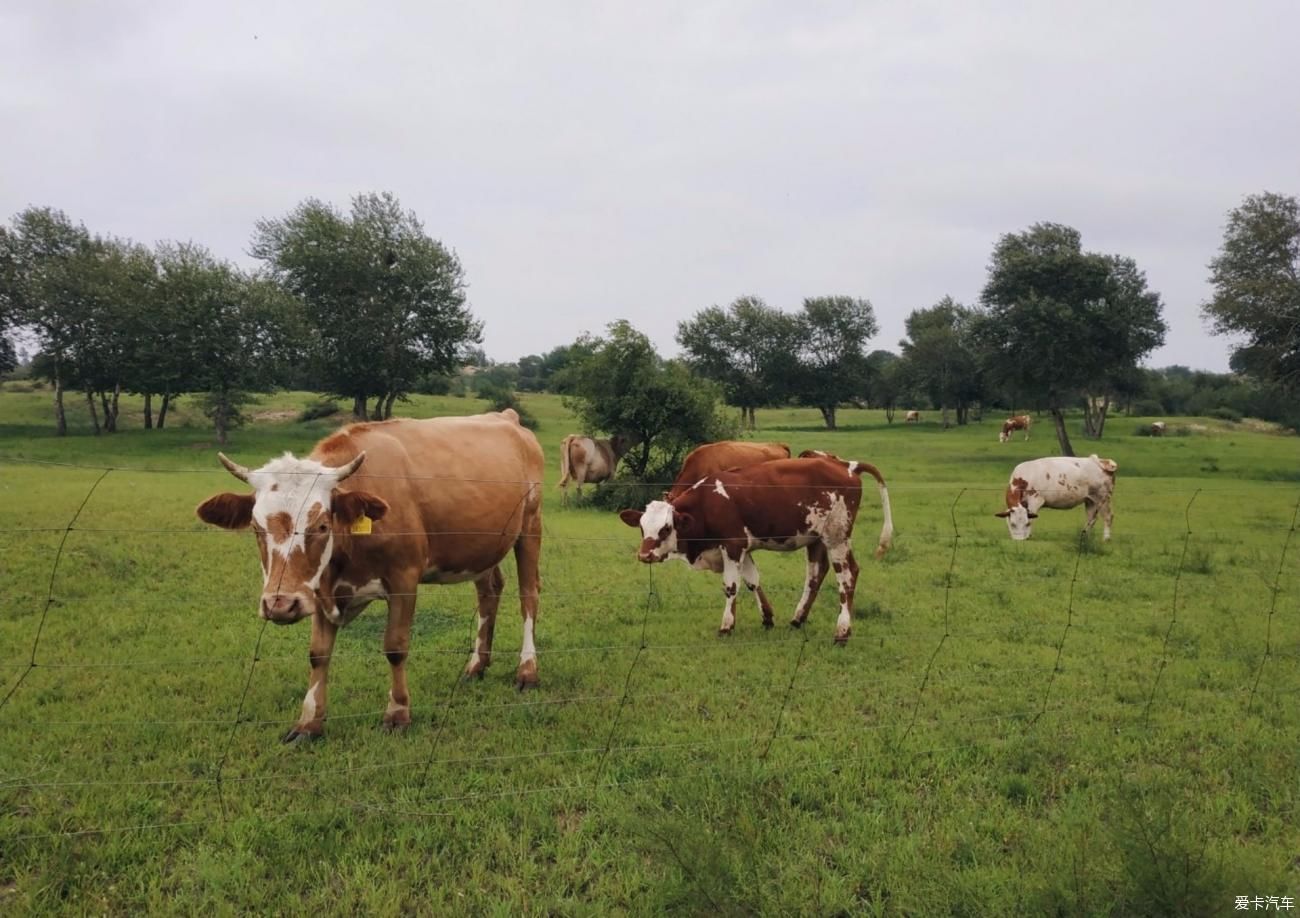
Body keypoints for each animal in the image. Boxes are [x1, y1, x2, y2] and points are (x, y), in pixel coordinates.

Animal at [193, 410, 543, 738]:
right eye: (256, 527)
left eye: (322, 525)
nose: (280, 604)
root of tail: (507, 417)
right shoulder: (321, 587)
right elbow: (318, 654)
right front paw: (309, 723)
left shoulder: (404, 578)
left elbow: (395, 647)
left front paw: (398, 714)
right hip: (483, 547)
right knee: (489, 591)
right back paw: (476, 665)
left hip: (530, 526)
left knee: (528, 596)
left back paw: (527, 670)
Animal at [618, 455, 894, 639]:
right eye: (642, 527)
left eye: (666, 528)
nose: (644, 555)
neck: (707, 504)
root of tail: (846, 465)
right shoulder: (743, 548)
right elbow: (753, 581)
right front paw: (767, 617)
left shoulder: (733, 545)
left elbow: (731, 586)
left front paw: (727, 625)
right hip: (816, 539)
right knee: (815, 576)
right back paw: (798, 618)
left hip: (836, 537)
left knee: (847, 575)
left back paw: (843, 629)